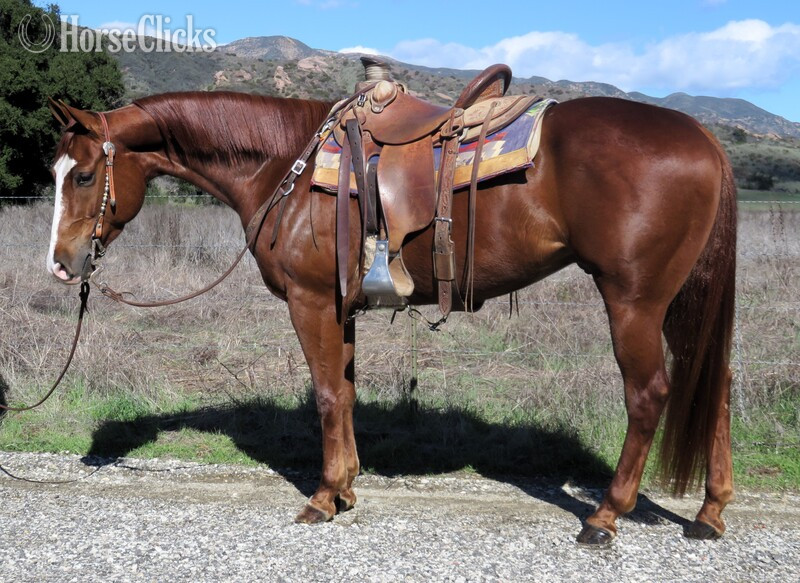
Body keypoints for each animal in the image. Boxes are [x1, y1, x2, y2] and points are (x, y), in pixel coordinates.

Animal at [45, 87, 736, 545]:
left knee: (649, 395)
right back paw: (710, 512)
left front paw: (322, 498)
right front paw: (347, 486)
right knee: (716, 387)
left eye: (83, 175)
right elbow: (346, 394)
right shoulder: (341, 306)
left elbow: (326, 395)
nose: (62, 264)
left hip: (634, 301)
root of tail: (705, 138)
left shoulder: (311, 302)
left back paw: (605, 515)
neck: (284, 165)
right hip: (677, 303)